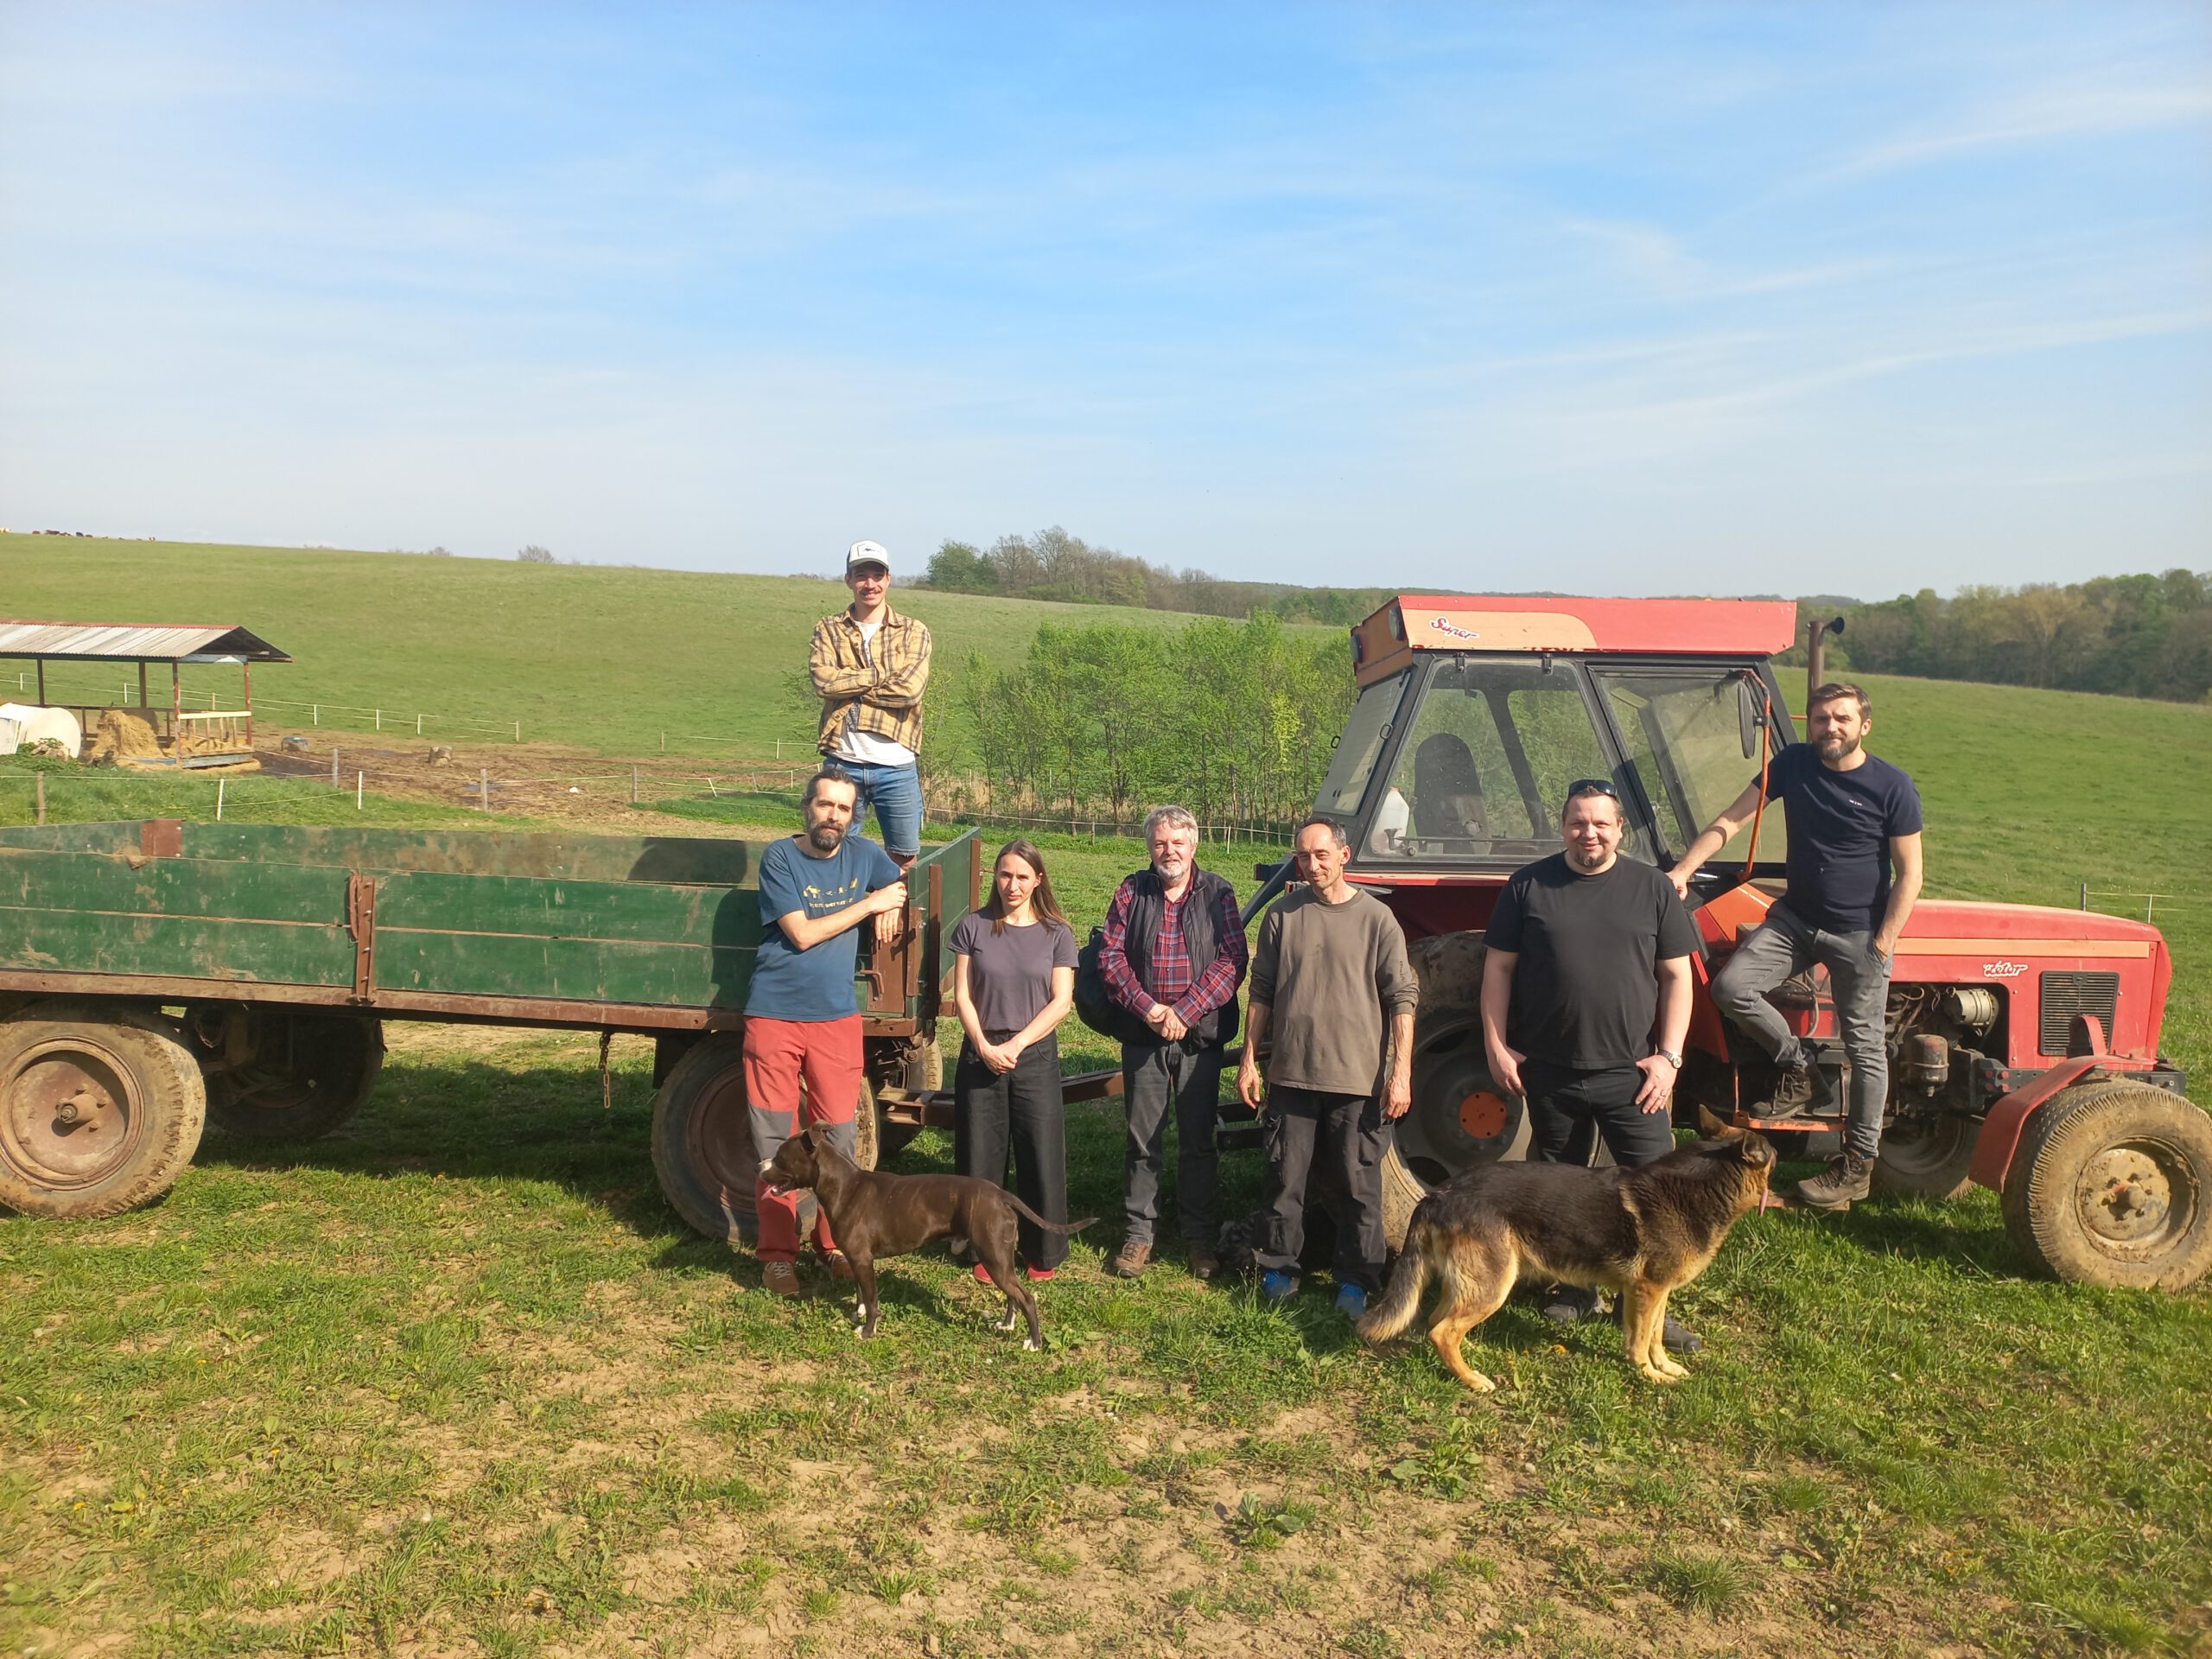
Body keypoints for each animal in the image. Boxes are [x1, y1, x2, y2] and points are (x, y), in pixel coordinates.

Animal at [760, 1132, 1096, 1353]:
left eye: (779, 1158)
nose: (760, 1165)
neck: (844, 1186)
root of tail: (1001, 1194)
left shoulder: (863, 1260)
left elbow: (873, 1301)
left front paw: (867, 1331)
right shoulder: (856, 1259)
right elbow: (860, 1293)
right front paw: (856, 1315)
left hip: (994, 1257)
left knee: (1027, 1298)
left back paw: (1034, 1342)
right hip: (1000, 1260)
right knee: (1014, 1295)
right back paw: (1007, 1326)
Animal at [1353, 1110, 1770, 1397]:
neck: (1703, 1183)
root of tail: (1437, 1194)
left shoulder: (1655, 1292)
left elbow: (1652, 1336)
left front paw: (1665, 1367)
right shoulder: (1648, 1291)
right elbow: (1639, 1341)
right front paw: (1648, 1374)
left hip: (1476, 1285)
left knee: (1438, 1322)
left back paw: (1467, 1353)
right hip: (1494, 1284)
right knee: (1442, 1331)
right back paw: (1472, 1379)